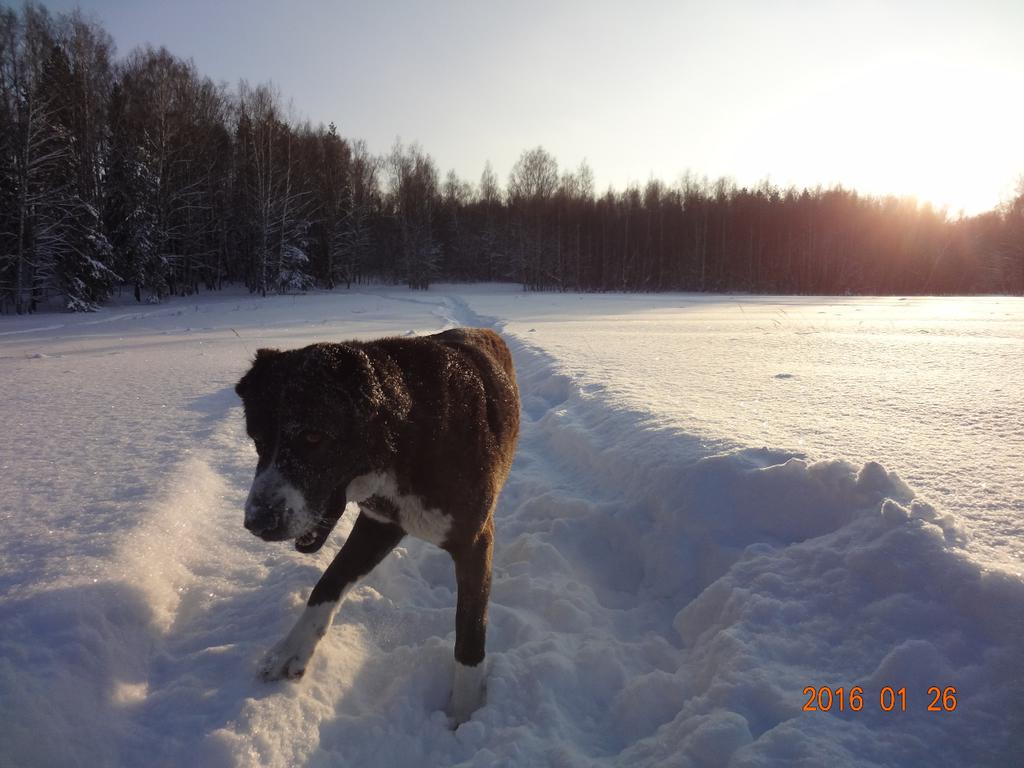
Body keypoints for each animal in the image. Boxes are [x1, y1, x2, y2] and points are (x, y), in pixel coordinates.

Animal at [234, 327, 516, 724]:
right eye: (257, 439)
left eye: (313, 437)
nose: (257, 522)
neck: (410, 437)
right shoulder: (378, 524)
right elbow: (328, 582)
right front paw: (292, 649)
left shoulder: (475, 543)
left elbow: (470, 632)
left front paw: (465, 711)